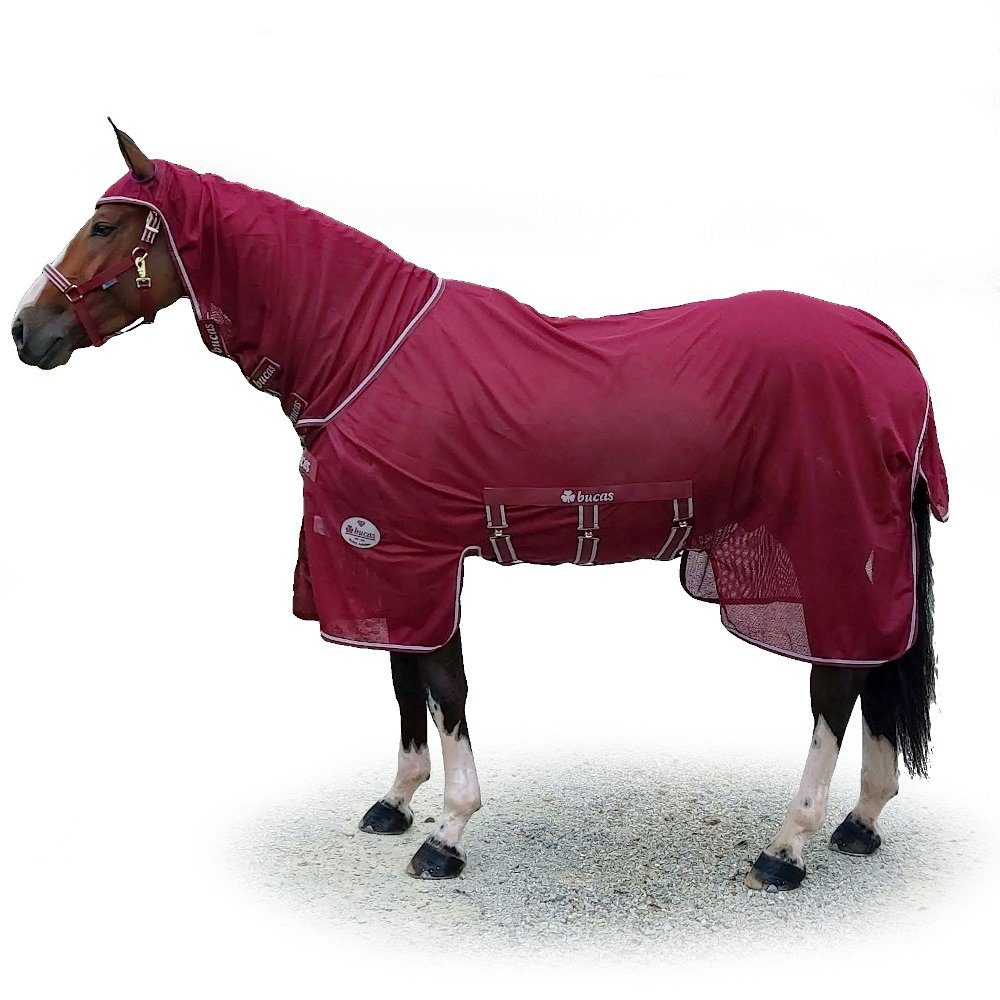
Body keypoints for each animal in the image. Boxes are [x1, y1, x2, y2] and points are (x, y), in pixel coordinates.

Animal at [12, 122, 948, 890]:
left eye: (105, 227)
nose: (26, 331)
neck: (367, 350)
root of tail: (896, 356)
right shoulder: (389, 556)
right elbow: (405, 681)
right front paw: (396, 802)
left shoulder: (407, 553)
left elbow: (443, 685)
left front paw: (447, 832)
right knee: (871, 670)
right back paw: (860, 822)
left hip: (828, 543)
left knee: (834, 683)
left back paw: (788, 846)